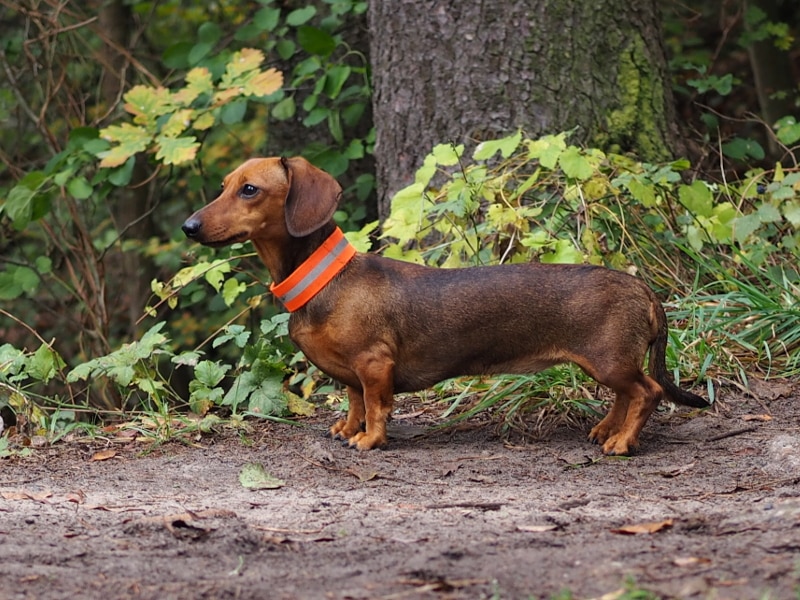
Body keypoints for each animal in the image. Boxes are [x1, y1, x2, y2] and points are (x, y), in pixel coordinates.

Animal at [183, 157, 708, 452]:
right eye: (225, 185)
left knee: (645, 392)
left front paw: (369, 440)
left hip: (609, 361)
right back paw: (606, 430)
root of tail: (642, 289)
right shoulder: (352, 374)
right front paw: (347, 429)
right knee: (626, 395)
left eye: (250, 189)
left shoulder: (374, 365)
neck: (326, 279)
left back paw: (622, 443)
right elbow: (353, 401)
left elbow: (376, 406)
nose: (189, 226)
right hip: (609, 363)